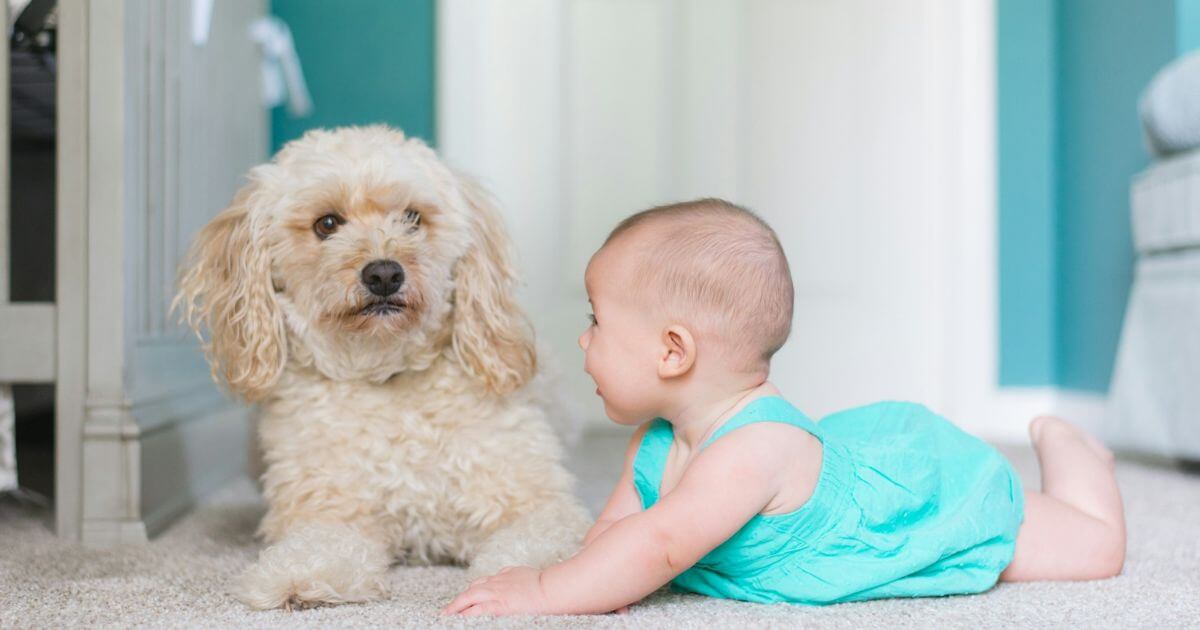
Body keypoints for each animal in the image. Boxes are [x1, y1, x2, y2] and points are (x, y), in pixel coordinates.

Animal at [175, 124, 590, 609]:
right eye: (327, 224)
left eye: (412, 217)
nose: (384, 274)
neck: (386, 374)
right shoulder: (329, 510)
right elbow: (320, 545)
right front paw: (299, 576)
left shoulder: (536, 503)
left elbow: (538, 543)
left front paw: (524, 581)